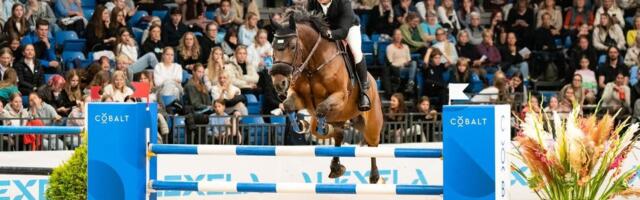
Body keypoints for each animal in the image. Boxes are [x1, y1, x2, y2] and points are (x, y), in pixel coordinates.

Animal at [270, 9, 384, 184]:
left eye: (293, 46)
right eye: (273, 46)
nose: (279, 83)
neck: (312, 66)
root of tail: (373, 81)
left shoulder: (340, 96)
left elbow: (321, 109)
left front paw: (321, 127)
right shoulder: (300, 98)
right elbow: (290, 106)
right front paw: (301, 125)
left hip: (371, 122)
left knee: (373, 145)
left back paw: (374, 176)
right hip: (342, 117)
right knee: (339, 135)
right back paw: (336, 167)